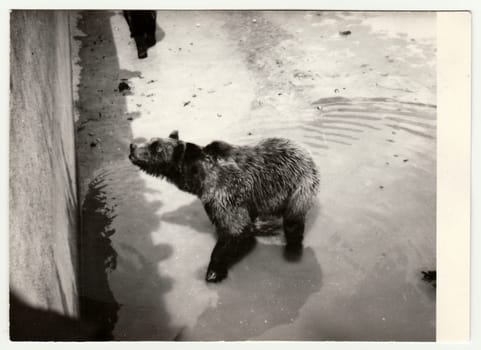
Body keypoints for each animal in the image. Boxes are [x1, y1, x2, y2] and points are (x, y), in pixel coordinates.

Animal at [129, 131, 320, 282]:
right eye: (149, 140)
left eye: (155, 146)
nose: (132, 146)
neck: (199, 178)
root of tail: (305, 150)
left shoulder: (224, 193)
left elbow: (237, 231)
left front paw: (213, 271)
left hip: (299, 185)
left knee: (293, 220)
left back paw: (292, 250)